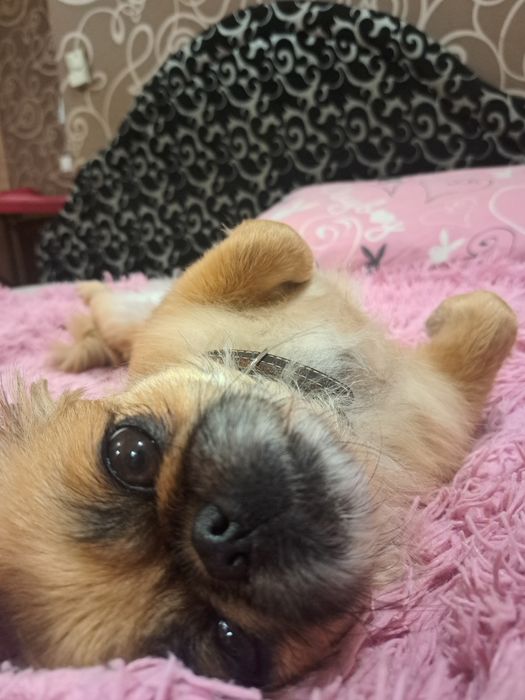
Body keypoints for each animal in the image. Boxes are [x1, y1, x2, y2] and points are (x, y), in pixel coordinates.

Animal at [0, 220, 517, 688]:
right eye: (230, 642)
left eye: (129, 453)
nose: (220, 535)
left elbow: (274, 239)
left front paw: (443, 311)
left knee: (121, 306)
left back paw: (95, 293)